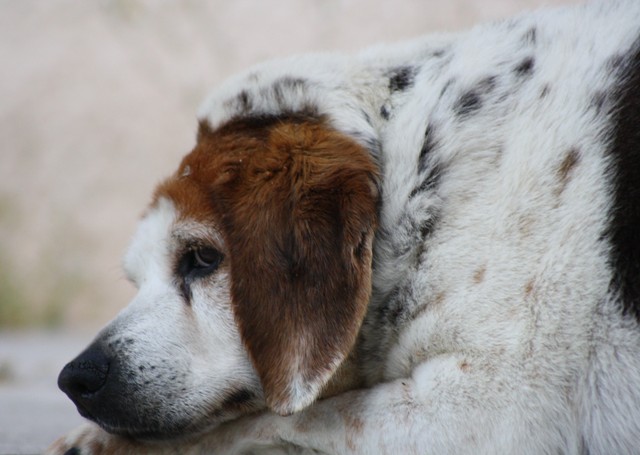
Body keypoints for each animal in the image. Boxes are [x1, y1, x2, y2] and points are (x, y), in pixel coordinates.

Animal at [48, 1, 640, 454]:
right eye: (134, 277)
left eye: (202, 258)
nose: (77, 377)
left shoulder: (485, 412)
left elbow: (277, 418)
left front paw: (98, 443)